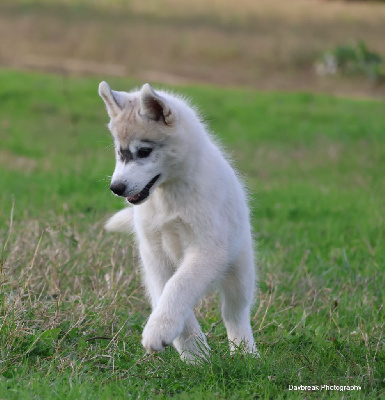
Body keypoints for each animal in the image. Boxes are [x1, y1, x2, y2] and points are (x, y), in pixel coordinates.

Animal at [99, 83, 256, 360]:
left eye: (144, 151)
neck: (168, 197)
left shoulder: (207, 250)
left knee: (234, 312)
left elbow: (179, 286)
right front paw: (195, 354)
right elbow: (167, 292)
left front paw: (160, 330)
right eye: (119, 152)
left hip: (240, 270)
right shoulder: (154, 254)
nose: (116, 188)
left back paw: (246, 351)